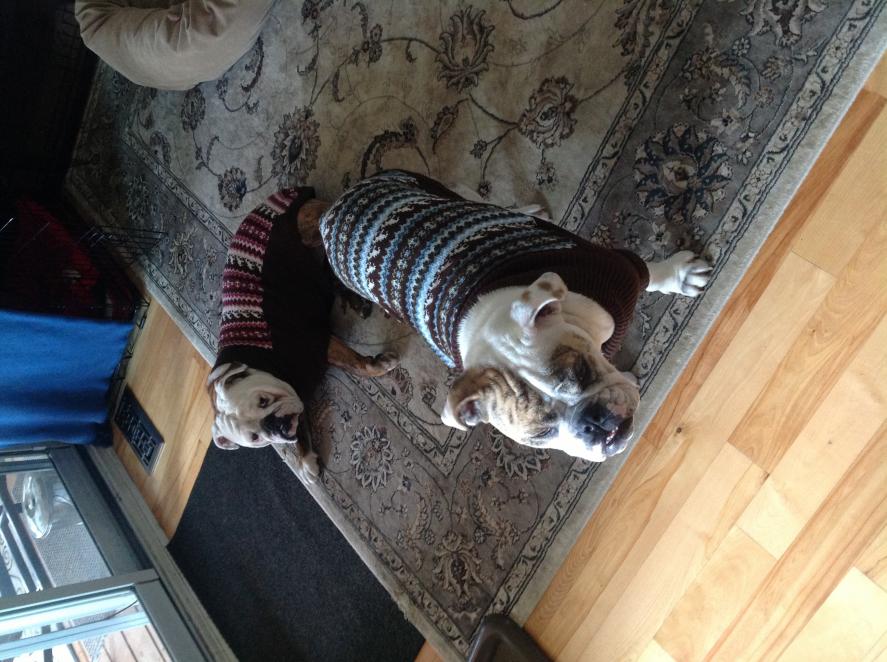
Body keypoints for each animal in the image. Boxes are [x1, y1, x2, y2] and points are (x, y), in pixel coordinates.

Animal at [207, 188, 397, 481]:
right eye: (255, 438)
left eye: (263, 401)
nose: (274, 426)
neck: (267, 365)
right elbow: (299, 435)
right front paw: (305, 460)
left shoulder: (318, 343)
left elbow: (358, 364)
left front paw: (380, 365)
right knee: (328, 270)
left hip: (311, 229)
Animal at [315, 170, 710, 462]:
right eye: (542, 434)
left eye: (582, 371)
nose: (592, 425)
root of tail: (330, 212)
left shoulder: (619, 268)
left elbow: (653, 272)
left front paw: (679, 275)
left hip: (437, 188)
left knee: (475, 198)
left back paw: (526, 211)